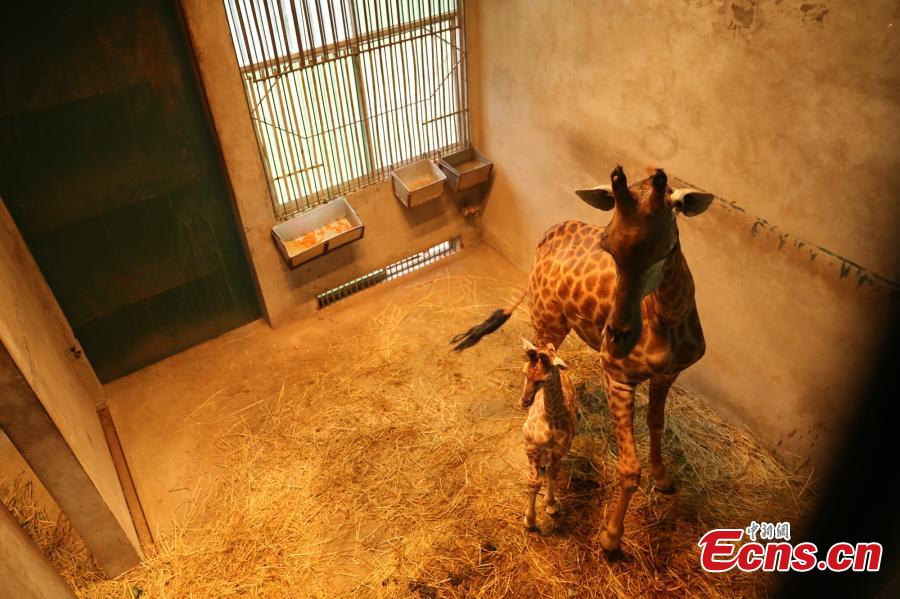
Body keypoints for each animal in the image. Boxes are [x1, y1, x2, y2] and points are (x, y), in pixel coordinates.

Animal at [520, 339, 579, 531]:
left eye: (543, 379)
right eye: (525, 372)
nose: (525, 401)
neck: (551, 418)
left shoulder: (561, 449)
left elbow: (553, 472)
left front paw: (551, 505)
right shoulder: (530, 445)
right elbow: (534, 483)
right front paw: (529, 521)